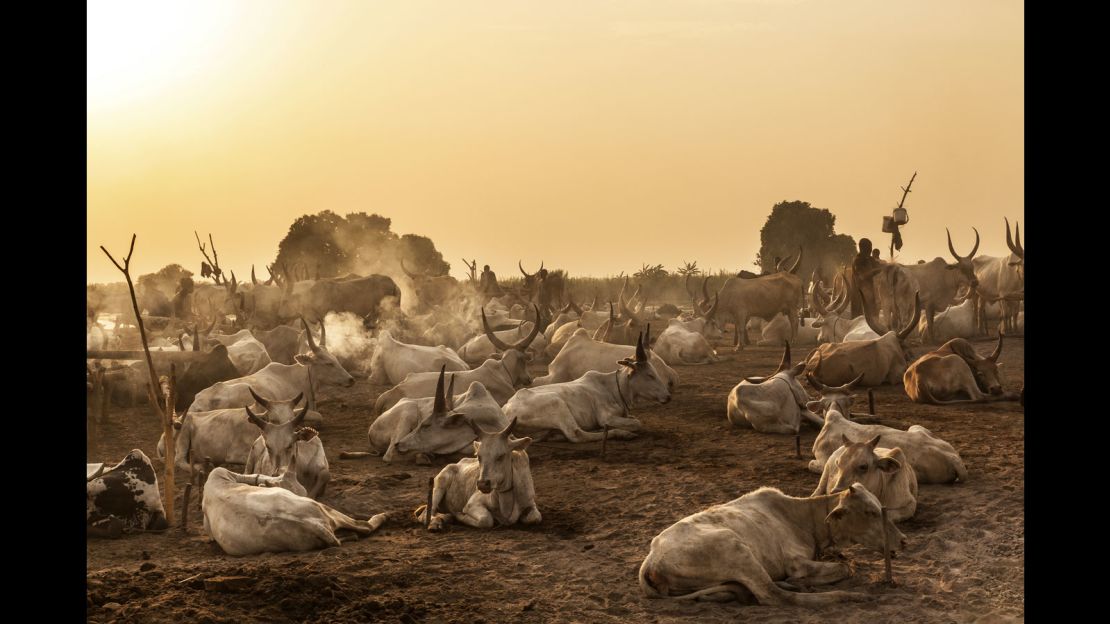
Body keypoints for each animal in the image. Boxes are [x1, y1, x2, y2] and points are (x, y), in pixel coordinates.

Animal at [412, 413, 541, 528]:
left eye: (501, 456)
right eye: (479, 456)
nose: (483, 484)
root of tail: (455, 464)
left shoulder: (531, 503)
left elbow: (535, 518)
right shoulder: (471, 504)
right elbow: (486, 520)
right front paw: (459, 516)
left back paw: (446, 517)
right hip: (438, 486)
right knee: (426, 514)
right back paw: (437, 522)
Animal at [639, 481, 905, 604]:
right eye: (870, 512)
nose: (903, 541)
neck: (802, 518)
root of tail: (651, 560)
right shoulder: (795, 562)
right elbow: (846, 567)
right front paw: (802, 580)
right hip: (736, 550)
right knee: (775, 596)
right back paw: (848, 596)